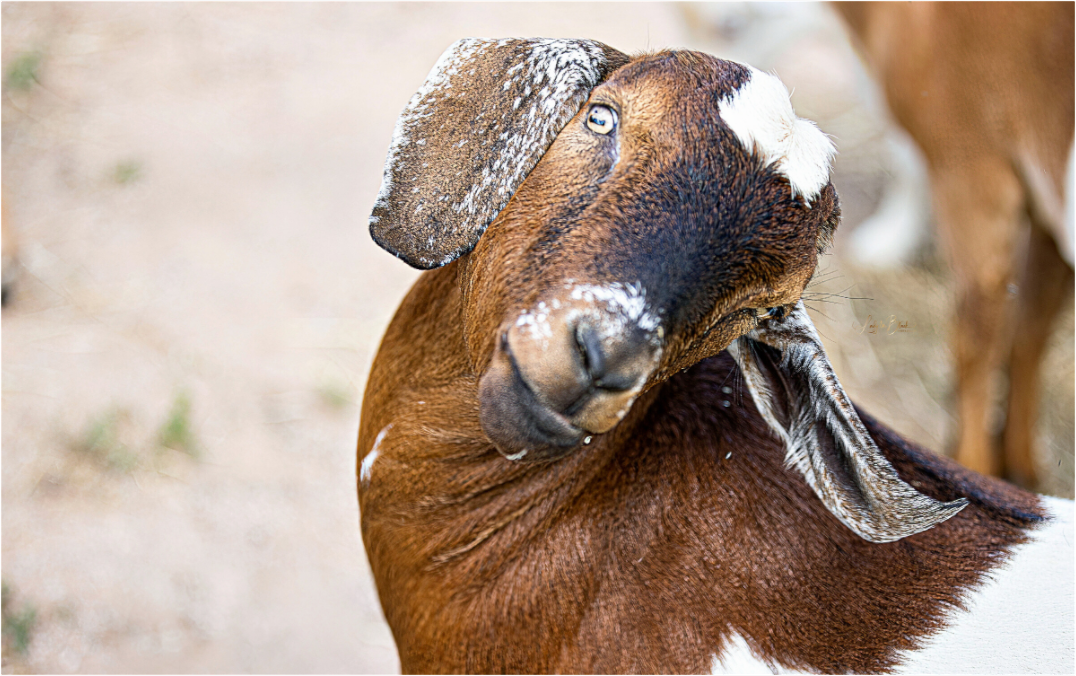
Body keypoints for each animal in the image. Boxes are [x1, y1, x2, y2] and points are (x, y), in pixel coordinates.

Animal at [831, 1, 1076, 487]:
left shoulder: (970, 170)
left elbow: (975, 340)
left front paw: (973, 468)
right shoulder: (1045, 202)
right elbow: (1032, 326)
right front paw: (1022, 471)